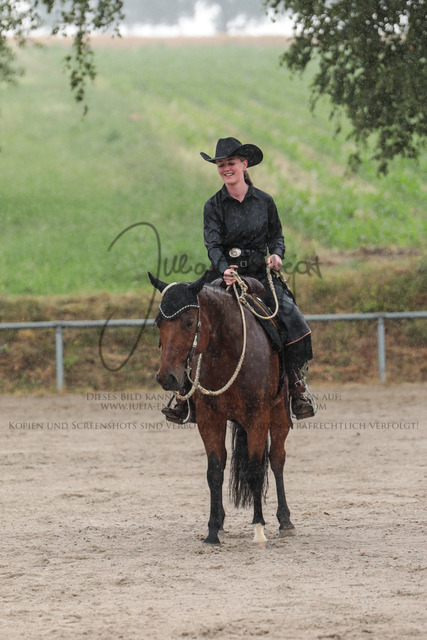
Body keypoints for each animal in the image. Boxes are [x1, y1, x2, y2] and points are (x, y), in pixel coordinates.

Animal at [148, 271, 295, 546]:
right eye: (158, 322)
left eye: (188, 322)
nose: (167, 377)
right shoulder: (210, 419)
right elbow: (215, 471)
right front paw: (213, 530)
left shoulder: (258, 417)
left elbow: (255, 470)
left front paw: (259, 528)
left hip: (279, 412)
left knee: (277, 459)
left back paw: (285, 521)